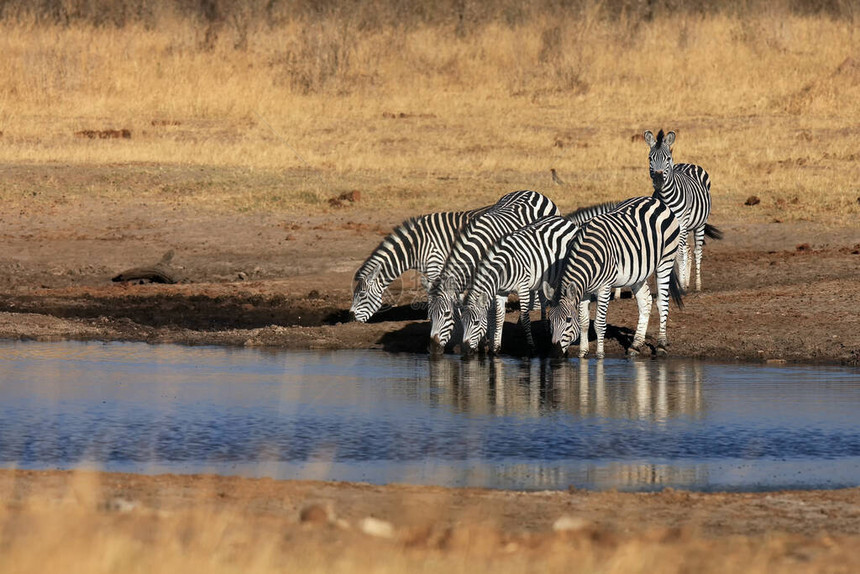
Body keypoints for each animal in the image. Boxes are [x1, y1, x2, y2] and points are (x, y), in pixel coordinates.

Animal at [346, 207, 490, 324]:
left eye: (362, 295)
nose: (351, 319)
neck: (415, 248)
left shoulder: (435, 264)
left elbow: (434, 291)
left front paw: (434, 316)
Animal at [428, 191, 560, 356]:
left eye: (446, 314)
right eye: (429, 316)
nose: (433, 349)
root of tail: (533, 192)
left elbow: (492, 313)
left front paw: (489, 342)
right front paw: (484, 342)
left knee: (541, 295)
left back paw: (543, 327)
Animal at [544, 197, 684, 360]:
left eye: (568, 320)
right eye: (549, 320)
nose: (555, 354)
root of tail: (655, 200)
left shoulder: (604, 287)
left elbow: (599, 324)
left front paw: (599, 354)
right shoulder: (584, 290)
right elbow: (584, 322)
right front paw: (583, 353)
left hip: (666, 260)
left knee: (662, 302)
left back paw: (661, 345)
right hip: (638, 273)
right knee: (645, 301)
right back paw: (635, 345)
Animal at [644, 130, 720, 292]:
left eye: (667, 158)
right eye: (650, 158)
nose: (658, 181)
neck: (666, 197)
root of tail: (688, 164)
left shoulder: (682, 222)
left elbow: (678, 255)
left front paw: (679, 286)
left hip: (699, 224)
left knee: (697, 251)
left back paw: (696, 285)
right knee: (686, 250)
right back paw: (685, 281)